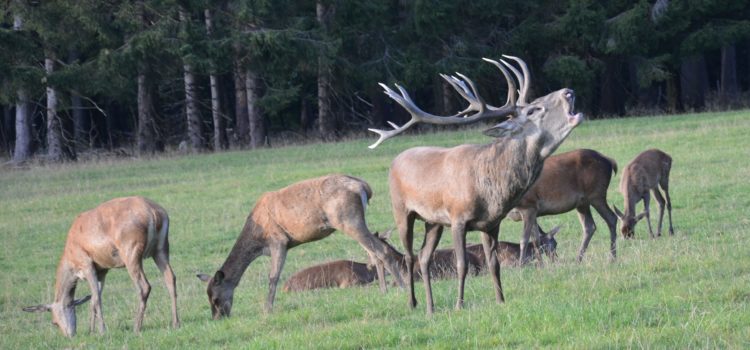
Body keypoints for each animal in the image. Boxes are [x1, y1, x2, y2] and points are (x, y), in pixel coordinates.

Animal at [22, 197, 179, 336]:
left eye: (54, 322)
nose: (69, 335)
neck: (70, 253)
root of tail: (153, 212)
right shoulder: (103, 271)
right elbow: (93, 299)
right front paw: (91, 331)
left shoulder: (87, 265)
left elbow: (96, 298)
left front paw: (102, 331)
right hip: (161, 249)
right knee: (170, 278)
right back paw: (175, 323)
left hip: (131, 254)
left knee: (144, 286)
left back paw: (136, 328)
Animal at [197, 175, 402, 320]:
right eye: (207, 297)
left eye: (215, 298)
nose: (217, 318)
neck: (257, 238)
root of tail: (364, 187)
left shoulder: (278, 241)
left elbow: (273, 277)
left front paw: (267, 309)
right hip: (354, 222)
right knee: (374, 253)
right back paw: (383, 290)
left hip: (348, 220)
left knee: (381, 250)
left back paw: (400, 287)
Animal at [376, 55, 588, 314]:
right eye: (533, 109)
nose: (569, 91)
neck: (491, 190)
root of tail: (395, 160)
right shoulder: (457, 218)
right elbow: (462, 264)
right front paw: (459, 305)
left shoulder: (491, 223)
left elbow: (494, 263)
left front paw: (500, 299)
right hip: (401, 209)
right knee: (408, 255)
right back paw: (412, 303)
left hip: (433, 222)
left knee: (424, 257)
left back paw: (431, 307)